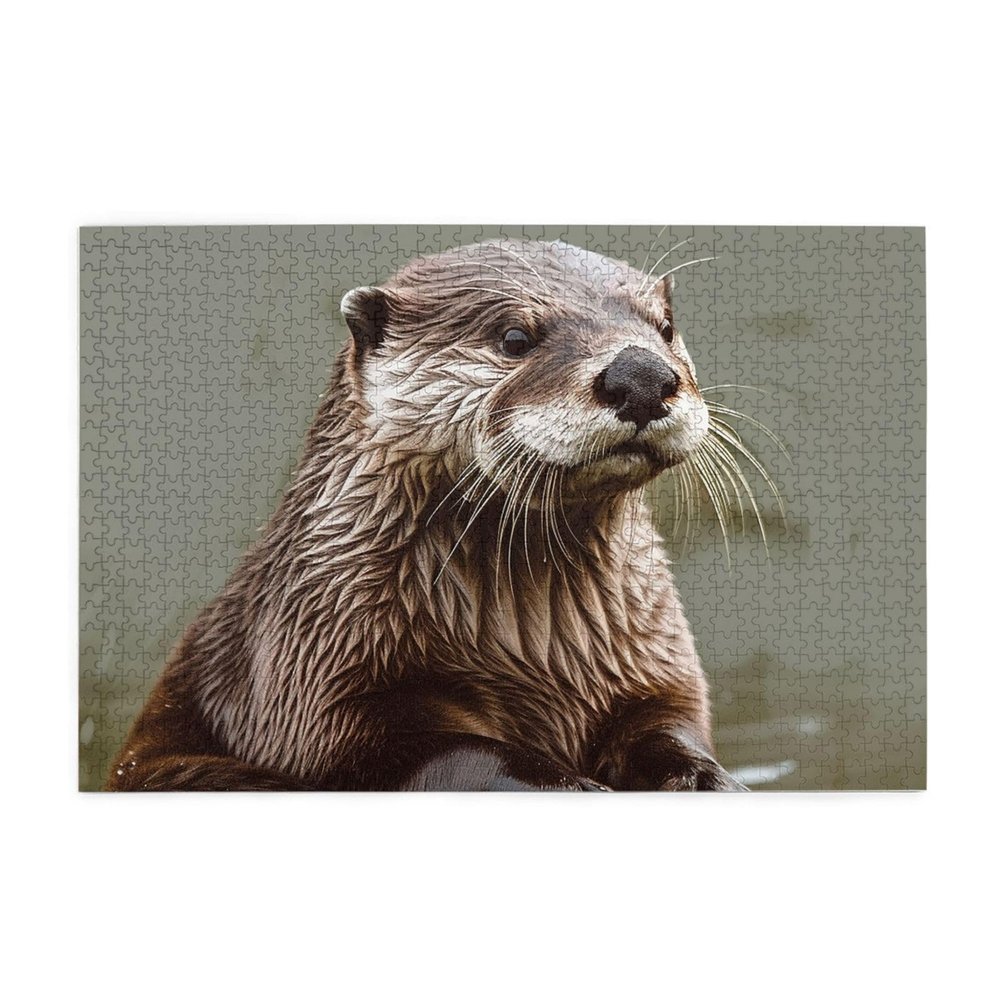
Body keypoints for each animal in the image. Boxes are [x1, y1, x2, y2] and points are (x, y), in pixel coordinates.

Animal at [107, 239, 748, 791]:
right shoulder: (313, 685)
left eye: (665, 329)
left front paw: (703, 777)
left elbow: (667, 728)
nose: (642, 374)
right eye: (515, 336)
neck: (539, 655)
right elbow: (450, 754)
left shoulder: (653, 667)